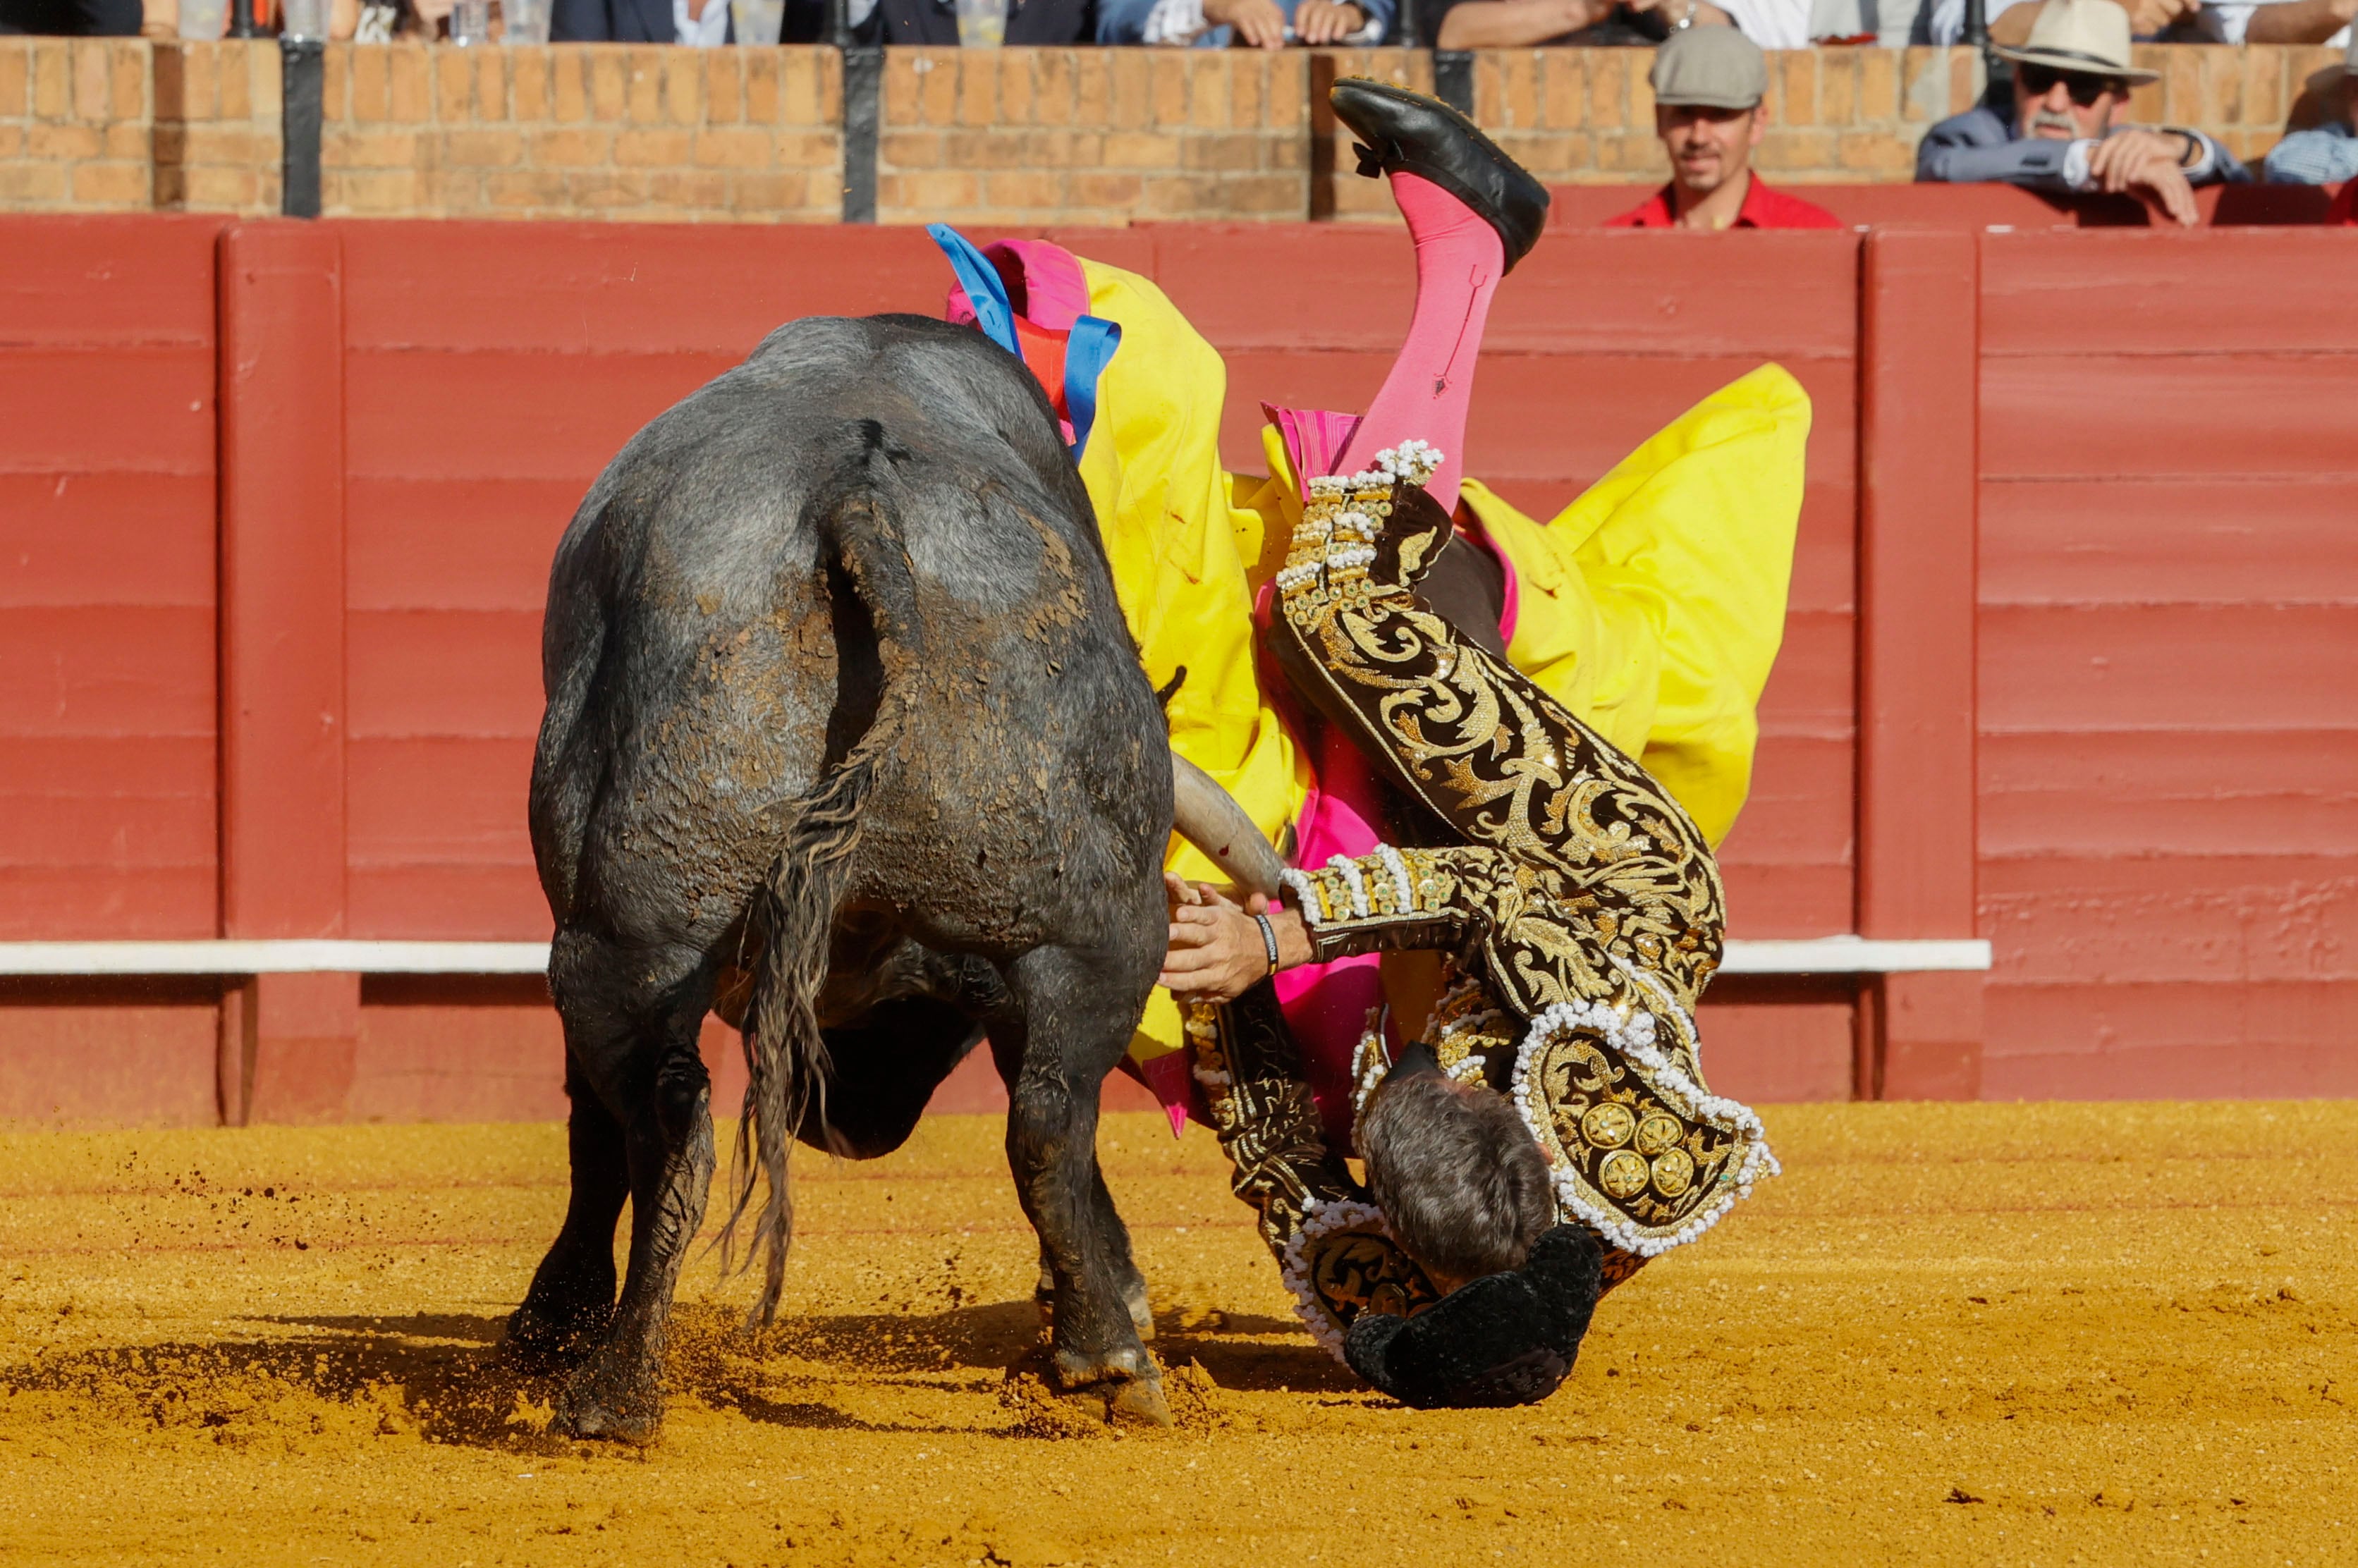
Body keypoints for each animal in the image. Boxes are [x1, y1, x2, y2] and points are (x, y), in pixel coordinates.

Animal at [518, 311, 1245, 1433]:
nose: (852, 1122)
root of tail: (855, 494)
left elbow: (589, 1130)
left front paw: (550, 1323)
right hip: (1092, 930)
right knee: (1046, 1119)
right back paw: (1107, 1357)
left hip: (625, 935)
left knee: (662, 1131)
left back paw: (616, 1385)